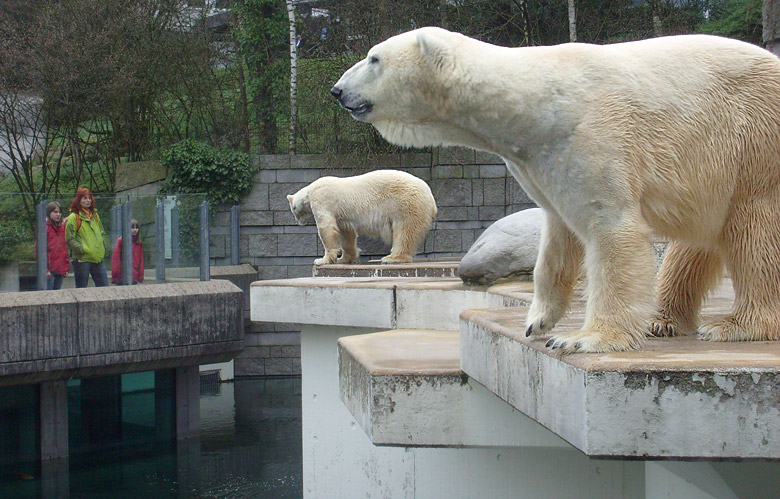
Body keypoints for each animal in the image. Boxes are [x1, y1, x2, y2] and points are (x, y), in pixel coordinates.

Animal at [284, 170, 436, 266]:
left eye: (293, 210)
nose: (298, 222)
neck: (310, 191)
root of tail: (430, 196)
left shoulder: (322, 200)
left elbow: (327, 228)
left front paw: (323, 260)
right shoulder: (342, 216)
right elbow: (347, 233)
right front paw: (344, 259)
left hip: (405, 204)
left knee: (405, 232)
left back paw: (393, 258)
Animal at [332, 27, 780, 354]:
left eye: (374, 58)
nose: (337, 90)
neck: (537, 106)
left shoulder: (593, 137)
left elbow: (610, 231)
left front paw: (585, 338)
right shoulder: (543, 161)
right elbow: (558, 238)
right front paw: (537, 320)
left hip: (753, 143)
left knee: (753, 231)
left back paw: (738, 326)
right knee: (695, 243)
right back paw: (662, 319)